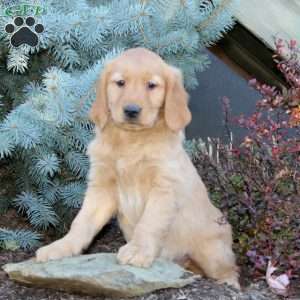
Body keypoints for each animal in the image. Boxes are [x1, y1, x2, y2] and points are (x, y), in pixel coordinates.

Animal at [36, 48, 240, 290]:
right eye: (120, 83)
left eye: (151, 85)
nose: (131, 110)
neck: (131, 140)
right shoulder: (101, 187)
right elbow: (82, 222)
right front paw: (61, 247)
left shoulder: (164, 188)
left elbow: (149, 222)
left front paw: (138, 251)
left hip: (213, 251)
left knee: (230, 270)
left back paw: (229, 285)